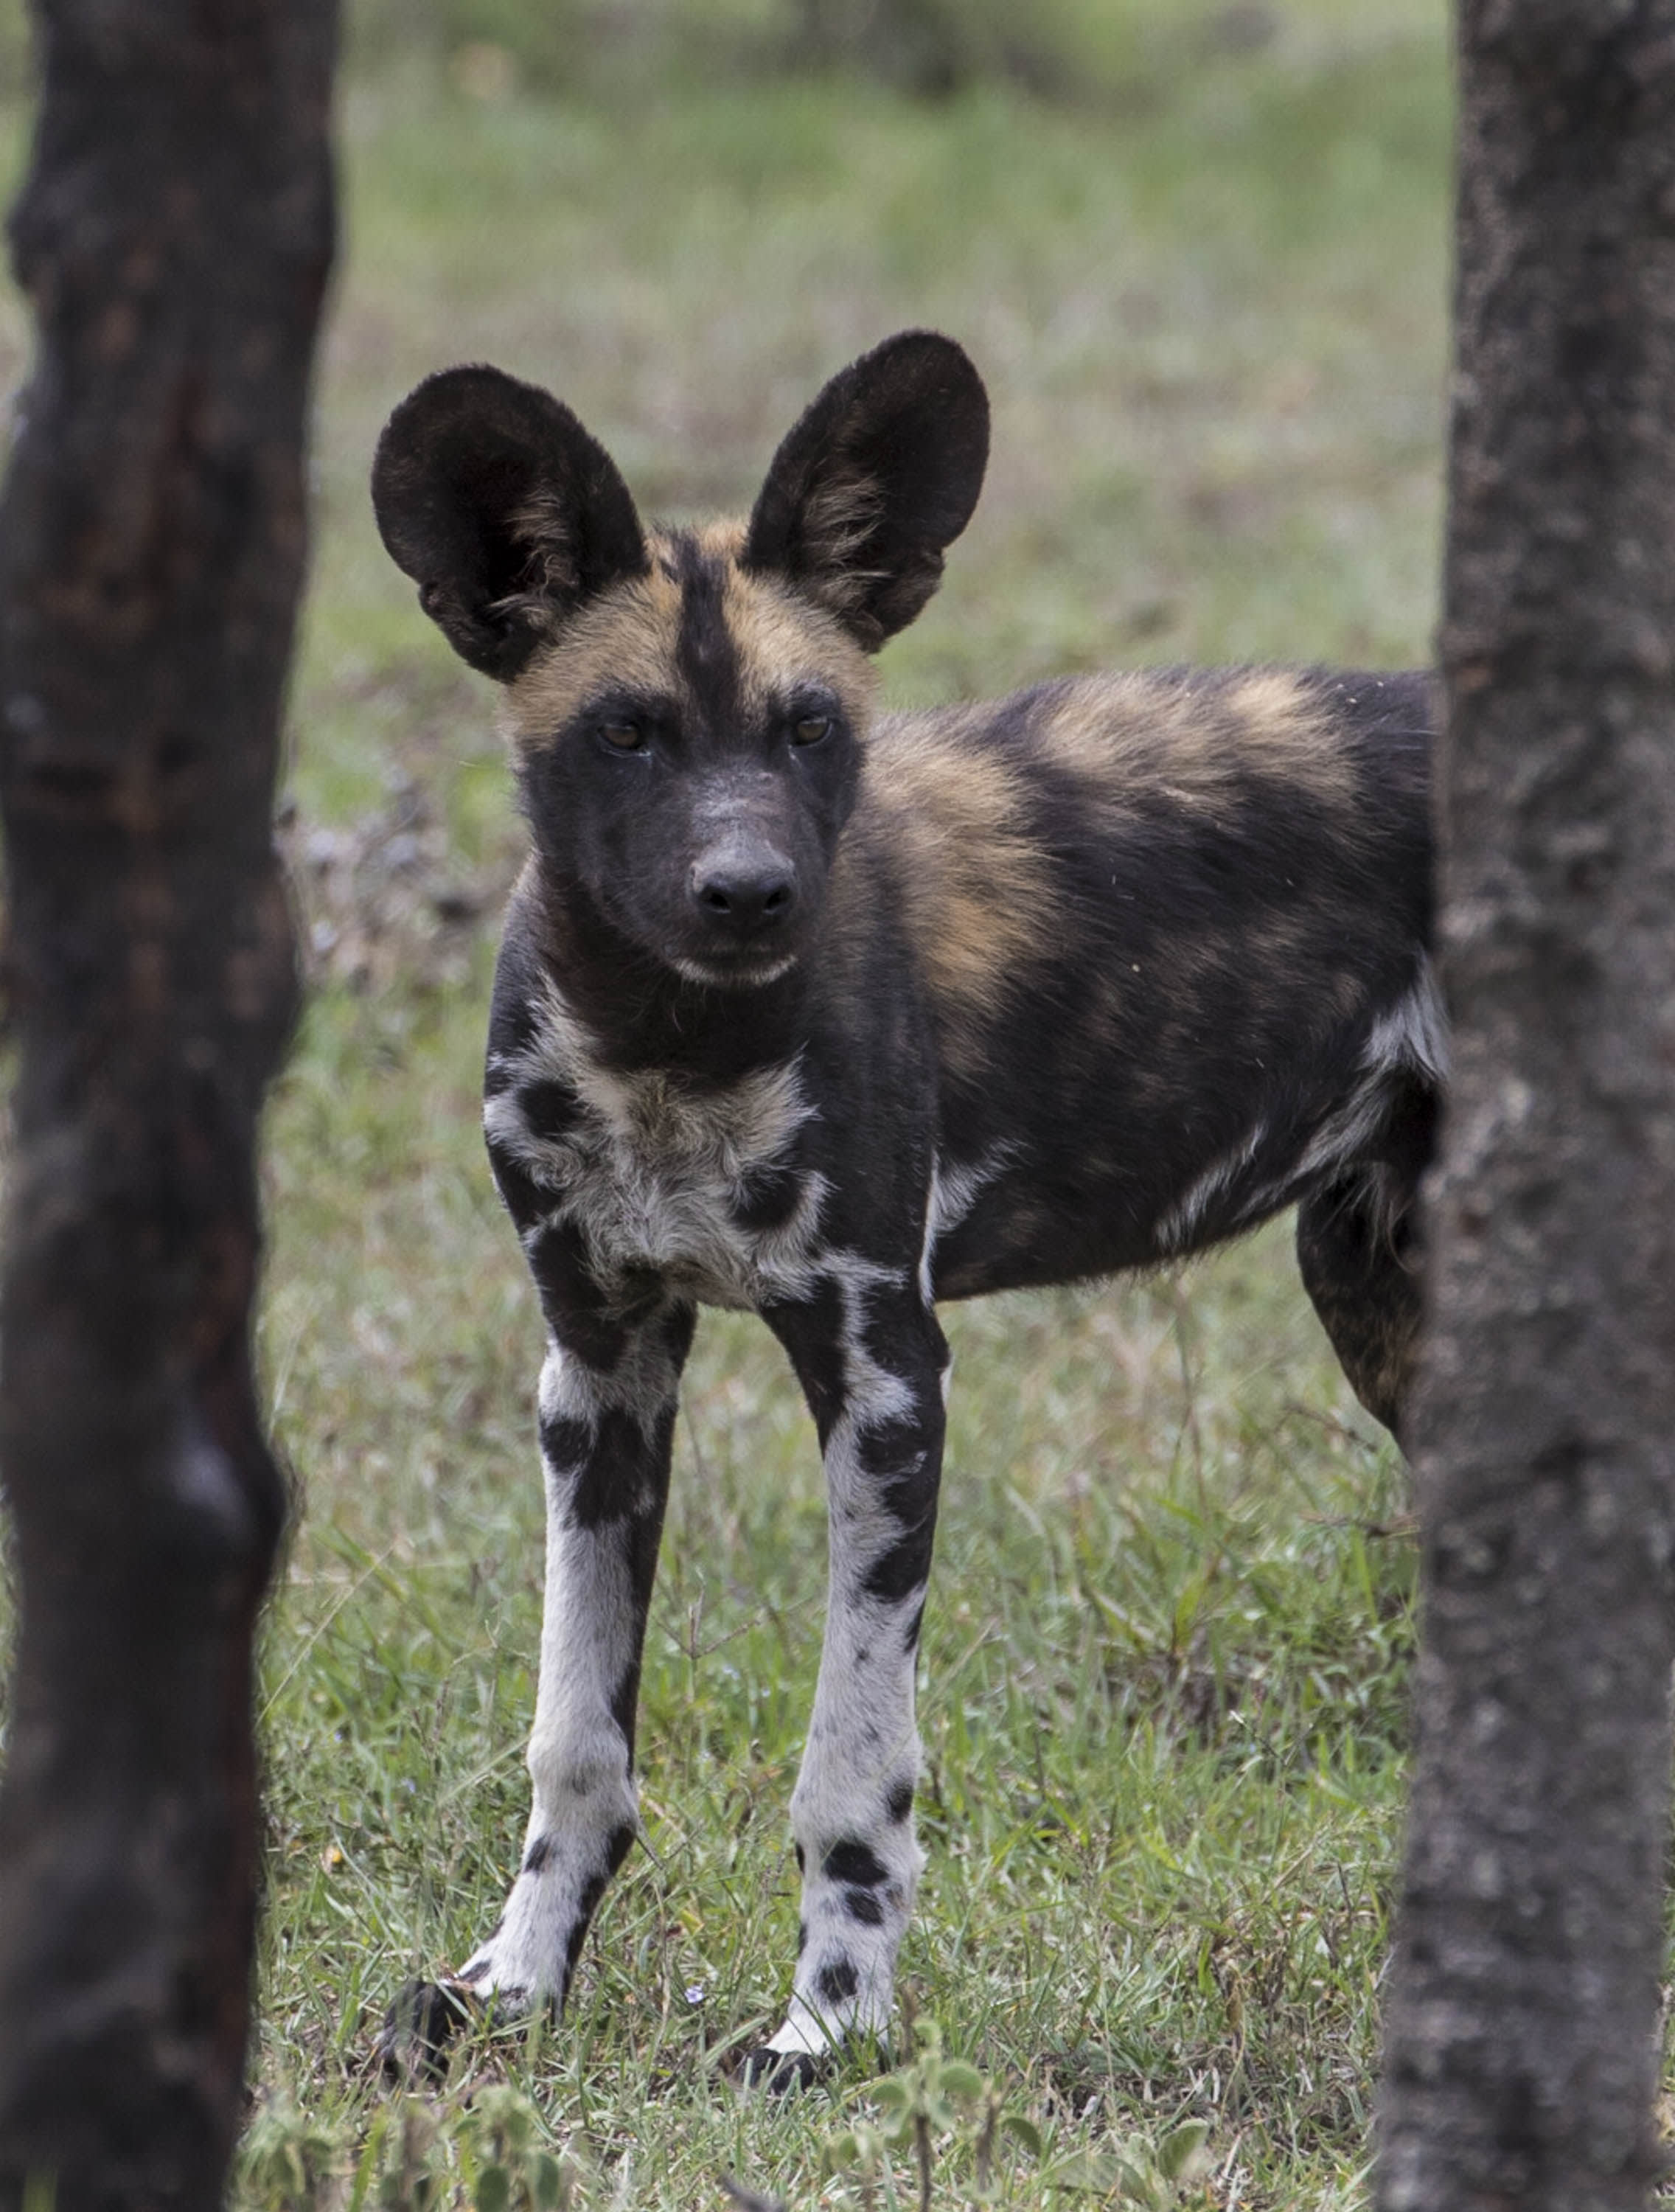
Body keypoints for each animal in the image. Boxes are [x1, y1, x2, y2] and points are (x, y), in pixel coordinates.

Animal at [369, 321, 1433, 2079]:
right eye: (627, 732)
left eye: (809, 727)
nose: (747, 892)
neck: (673, 1052)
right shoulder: (596, 1373)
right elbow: (573, 1742)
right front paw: (508, 1991)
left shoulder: (883, 1384)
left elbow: (849, 1770)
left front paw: (828, 2030)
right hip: (1377, 1299)